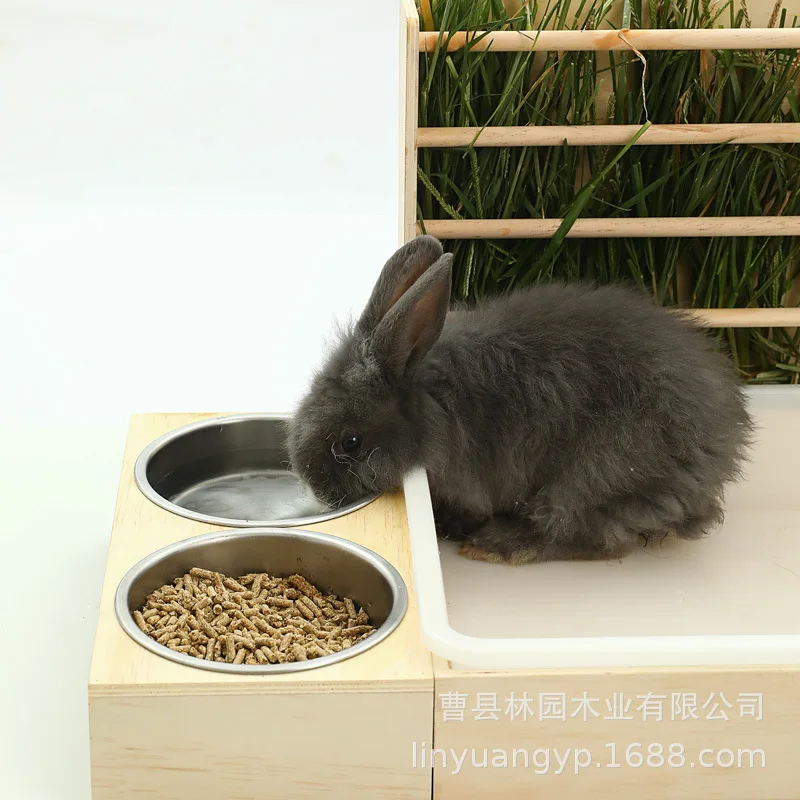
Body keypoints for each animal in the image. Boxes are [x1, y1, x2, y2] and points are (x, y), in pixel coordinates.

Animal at [286, 235, 753, 565]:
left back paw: (495, 544)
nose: (319, 491)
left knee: (586, 536)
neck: (431, 396)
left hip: (595, 477)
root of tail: (725, 443)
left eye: (350, 443)